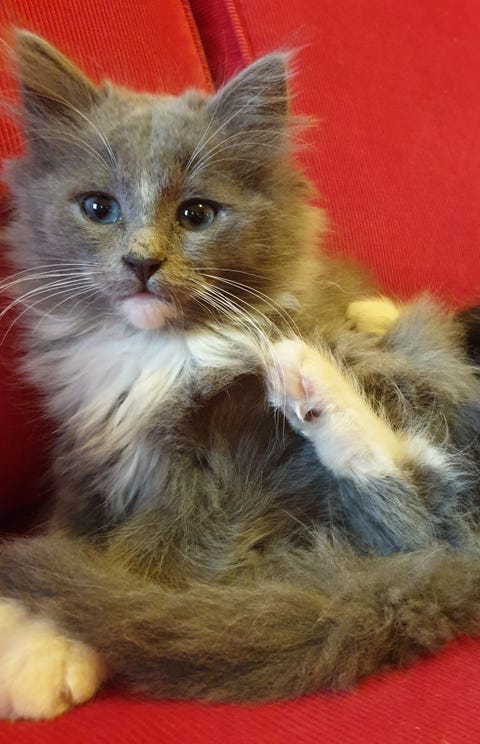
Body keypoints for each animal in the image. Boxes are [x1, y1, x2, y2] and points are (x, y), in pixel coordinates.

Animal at [1, 30, 480, 720]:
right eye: (98, 207)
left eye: (197, 214)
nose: (141, 261)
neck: (157, 350)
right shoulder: (89, 456)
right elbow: (70, 527)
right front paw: (24, 625)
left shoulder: (233, 471)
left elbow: (143, 555)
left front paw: (48, 642)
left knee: (422, 515)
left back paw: (306, 370)